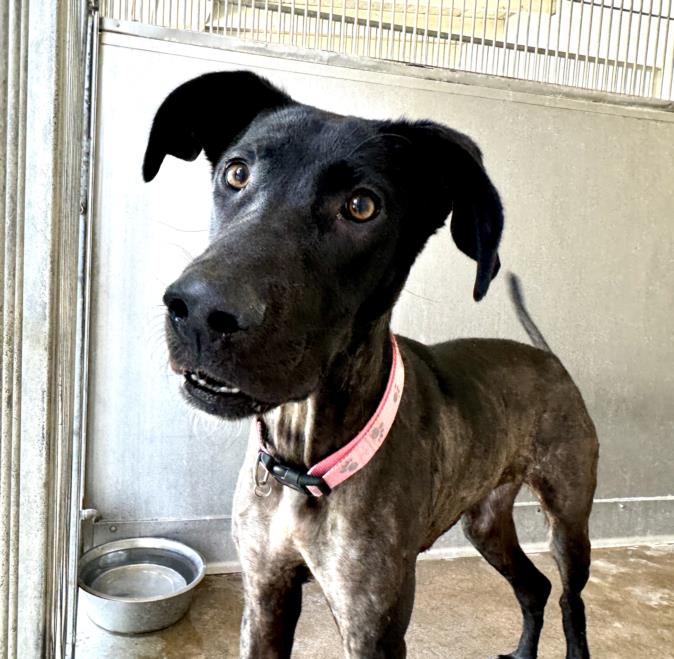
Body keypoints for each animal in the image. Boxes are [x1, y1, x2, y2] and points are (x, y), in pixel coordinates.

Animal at [144, 72, 596, 659]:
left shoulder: (372, 626)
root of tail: (551, 359)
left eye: (361, 206)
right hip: (484, 523)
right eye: (236, 172)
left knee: (570, 598)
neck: (303, 462)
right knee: (534, 585)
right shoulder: (264, 598)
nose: (197, 311)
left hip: (569, 521)